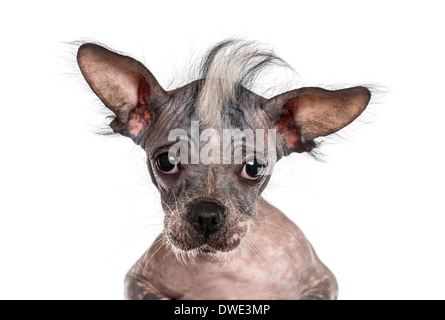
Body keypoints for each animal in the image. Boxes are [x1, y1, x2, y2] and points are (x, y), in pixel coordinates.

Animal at [78, 40, 370, 300]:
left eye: (254, 167)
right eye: (166, 162)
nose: (206, 215)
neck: (222, 265)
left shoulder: (322, 280)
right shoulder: (137, 280)